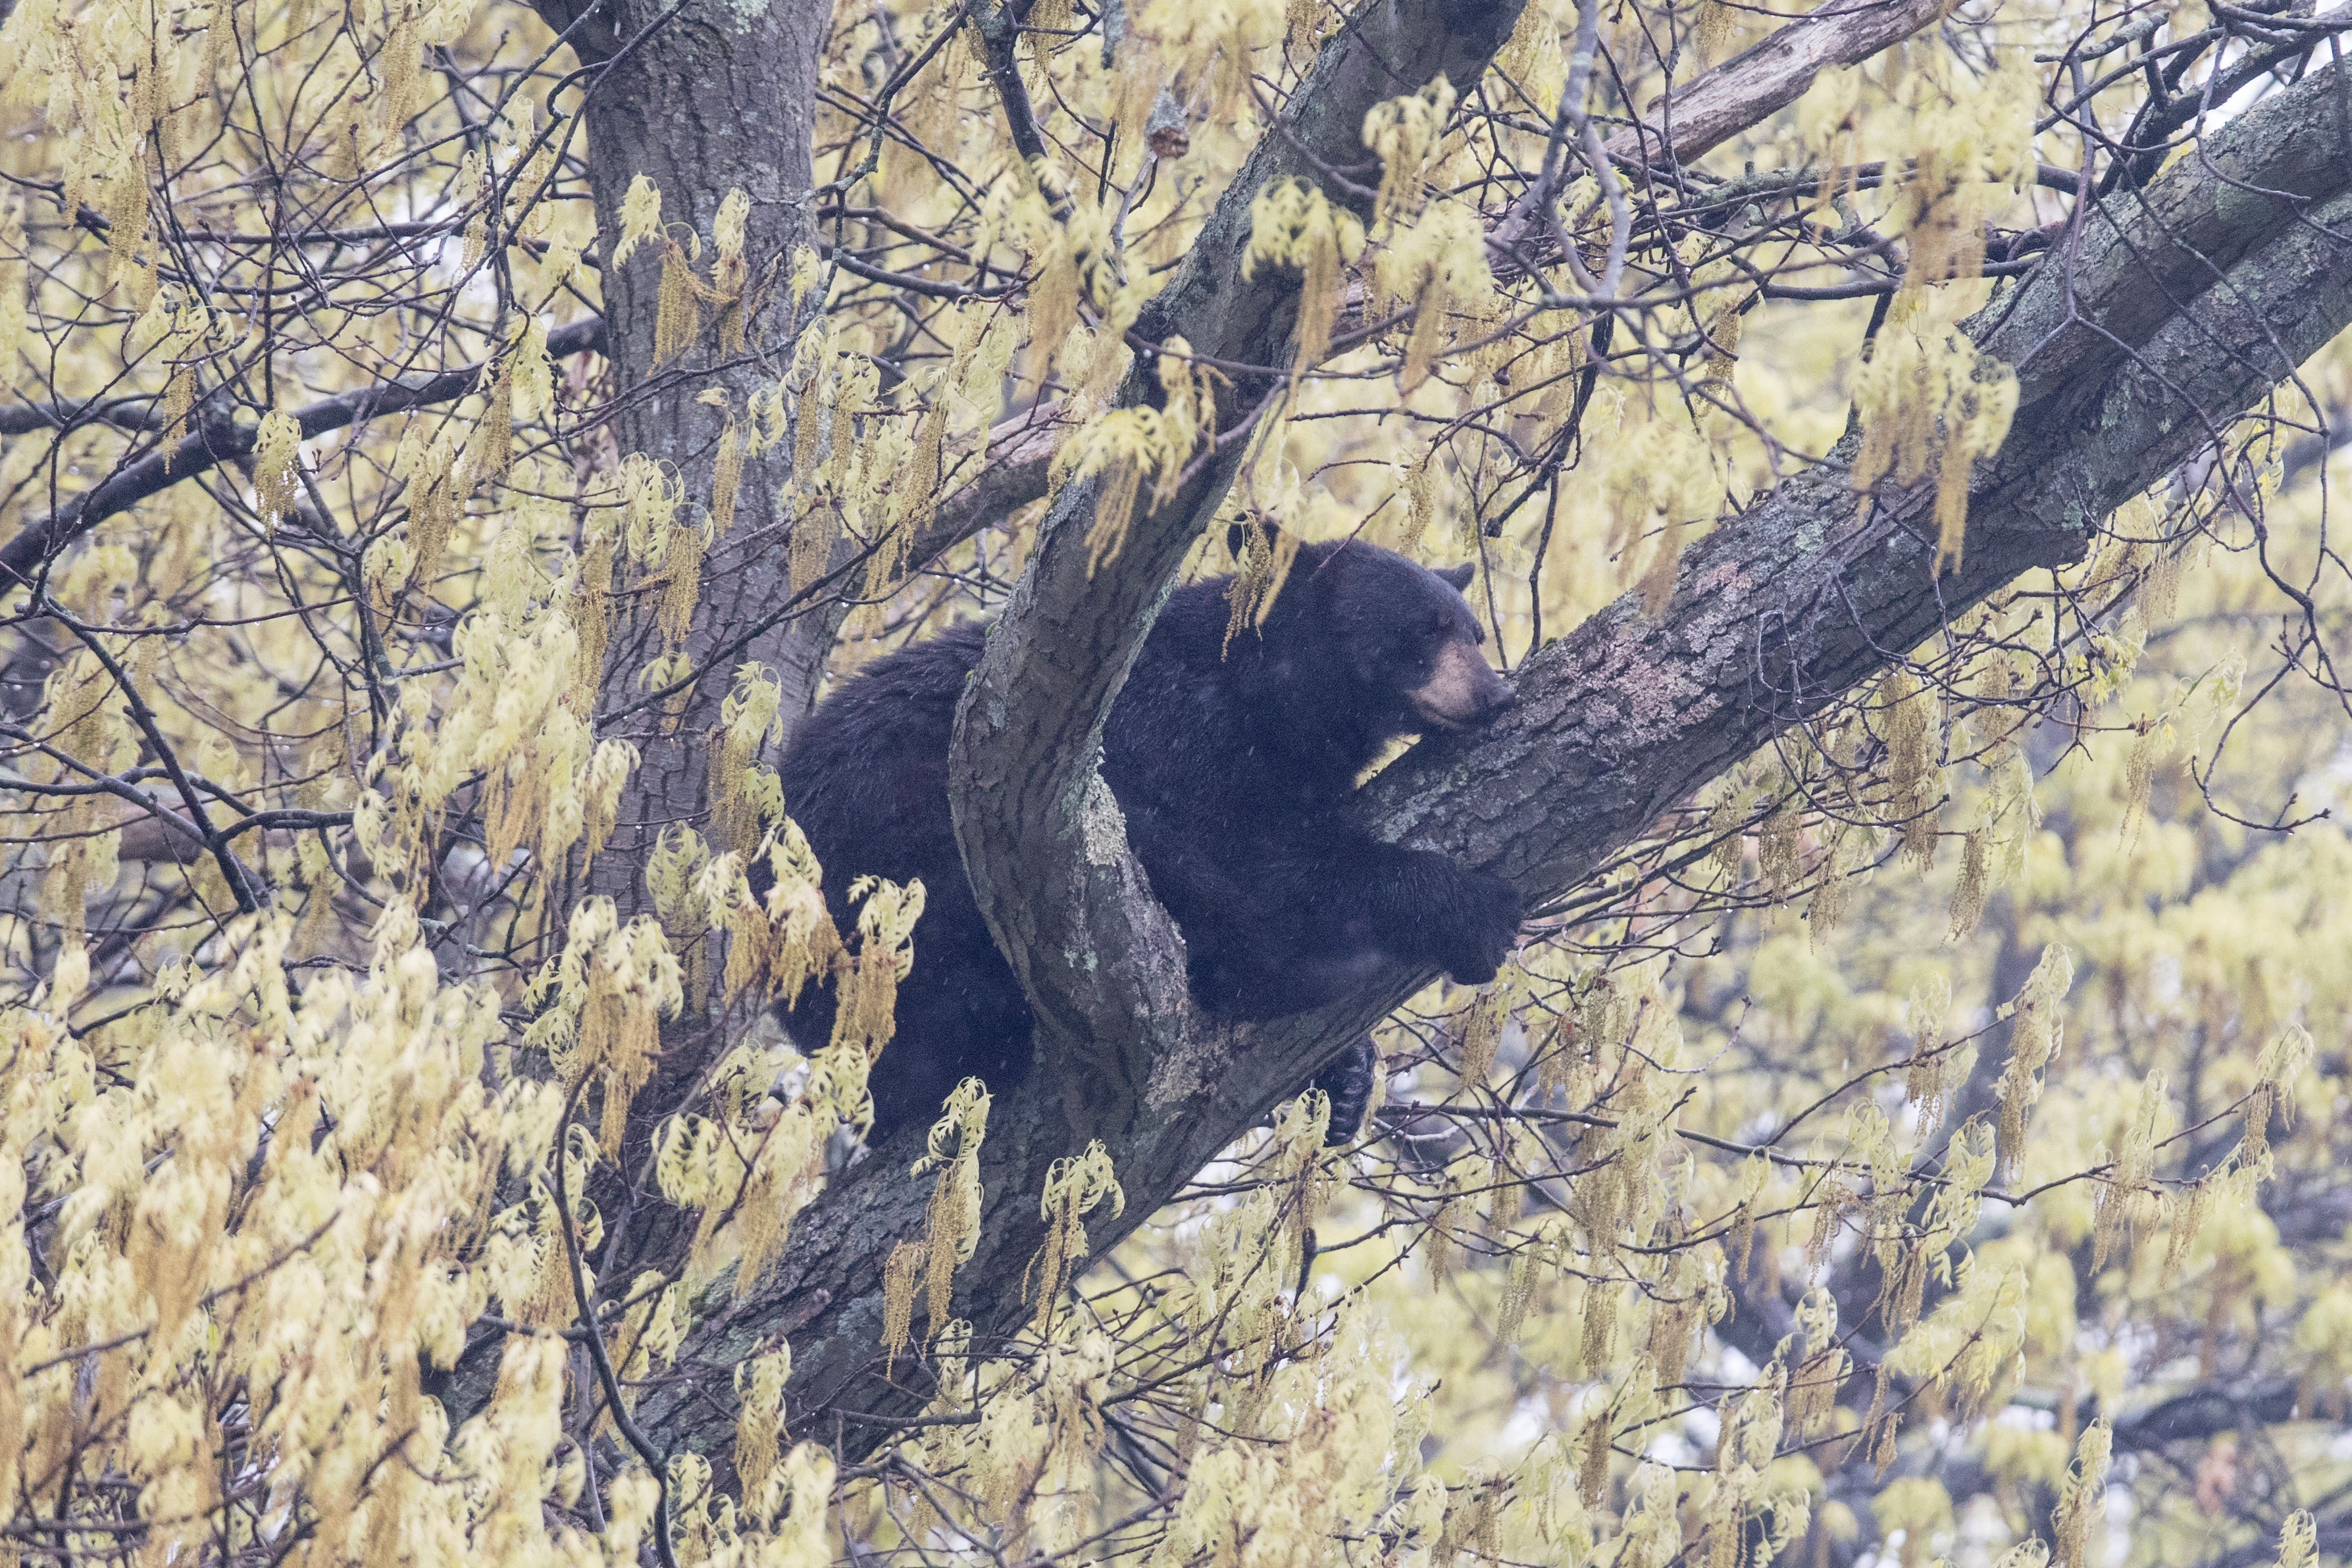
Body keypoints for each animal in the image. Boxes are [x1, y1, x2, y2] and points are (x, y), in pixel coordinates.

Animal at [771, 536, 1523, 1142]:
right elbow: (1257, 857)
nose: (1497, 697)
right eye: (1424, 631)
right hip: (909, 854)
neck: (1269, 695)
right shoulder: (1171, 728)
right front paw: (1470, 907)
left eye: (1474, 633)